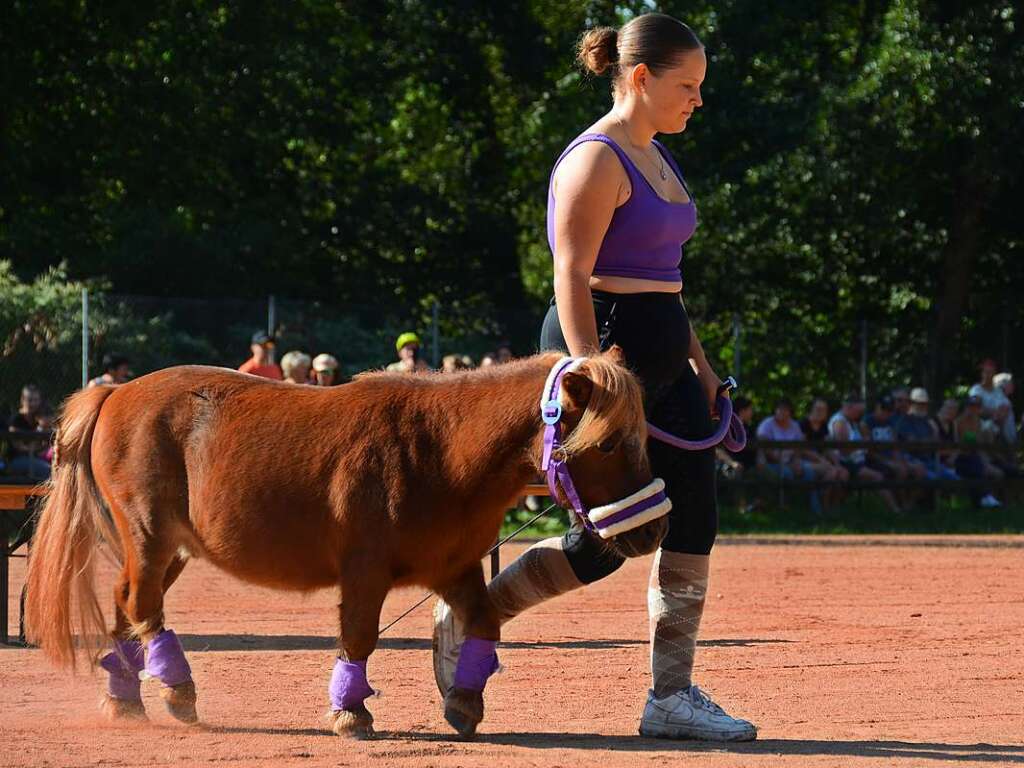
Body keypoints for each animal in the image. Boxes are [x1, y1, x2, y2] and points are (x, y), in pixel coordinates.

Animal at [24, 348, 667, 741]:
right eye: (607, 444)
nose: (654, 530)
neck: (439, 449)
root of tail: (114, 392)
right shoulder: (365, 571)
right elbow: (358, 636)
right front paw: (351, 711)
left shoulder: (455, 568)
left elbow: (484, 622)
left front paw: (464, 699)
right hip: (151, 536)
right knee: (142, 605)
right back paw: (177, 690)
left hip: (172, 550)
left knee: (126, 602)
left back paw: (125, 696)